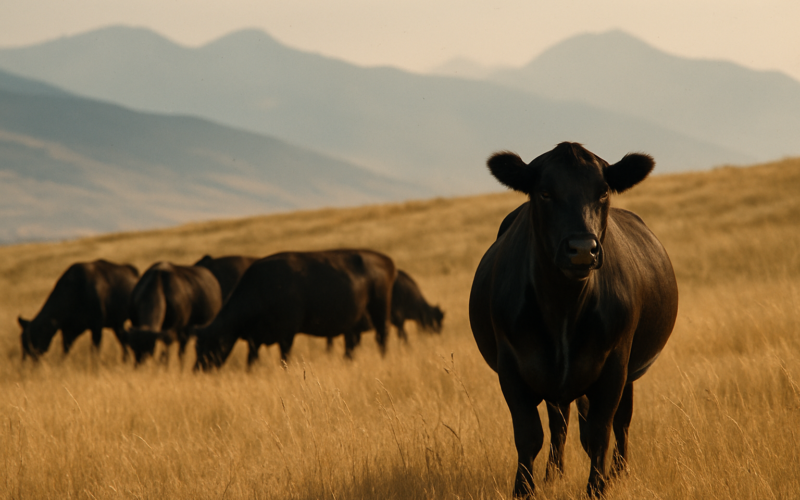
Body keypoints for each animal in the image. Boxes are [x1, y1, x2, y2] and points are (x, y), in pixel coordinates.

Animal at [194, 249, 396, 370]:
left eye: (208, 345)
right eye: (196, 347)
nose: (197, 370)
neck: (260, 288)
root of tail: (385, 259)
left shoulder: (287, 334)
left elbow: (284, 357)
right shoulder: (255, 339)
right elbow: (251, 360)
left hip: (379, 309)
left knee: (382, 335)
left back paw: (383, 359)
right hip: (354, 321)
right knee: (352, 343)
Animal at [469, 142, 679, 497]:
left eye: (603, 191)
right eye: (544, 192)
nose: (582, 249)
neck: (563, 310)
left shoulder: (614, 363)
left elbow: (599, 432)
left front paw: (598, 488)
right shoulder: (510, 366)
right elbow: (529, 434)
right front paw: (523, 490)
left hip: (627, 372)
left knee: (621, 421)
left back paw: (618, 472)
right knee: (560, 422)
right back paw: (554, 474)